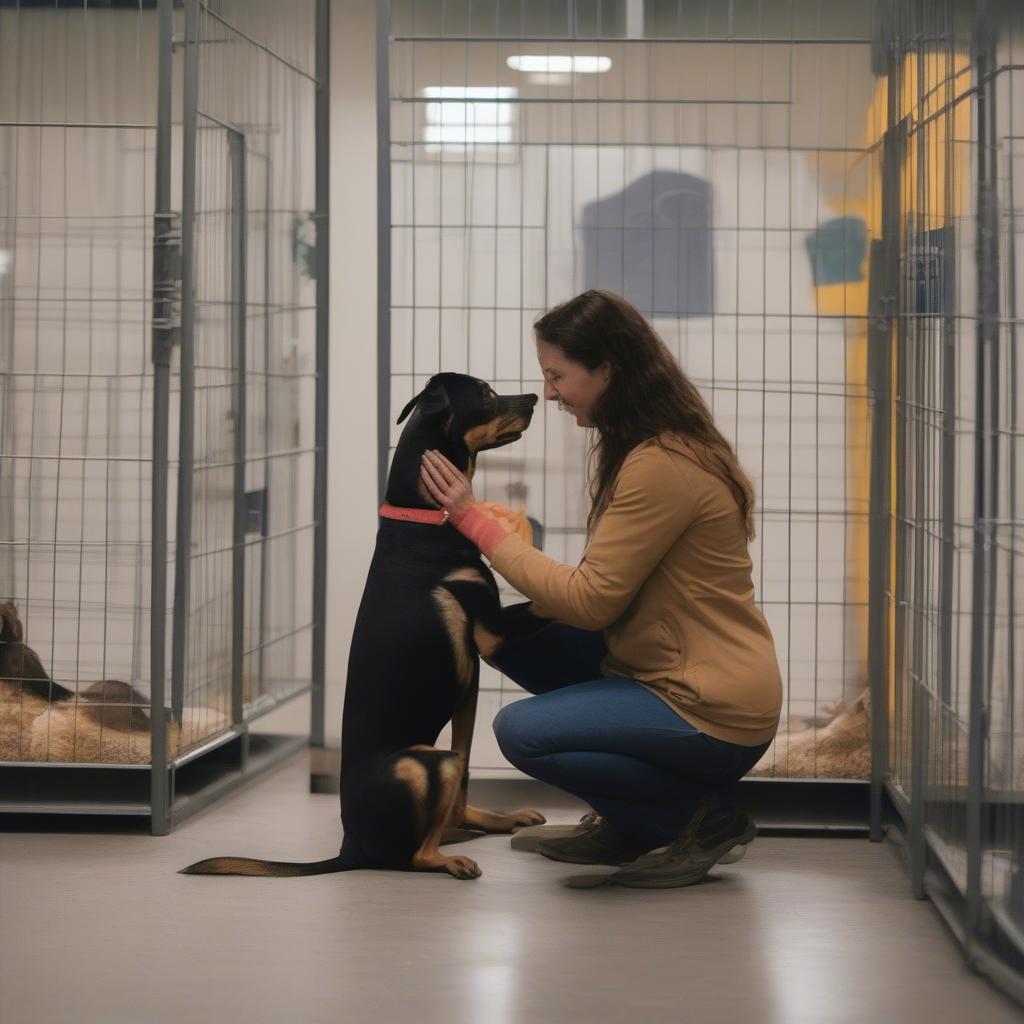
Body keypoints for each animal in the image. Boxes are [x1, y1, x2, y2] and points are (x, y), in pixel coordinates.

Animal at [184, 374, 552, 880]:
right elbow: (548, 604)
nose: (534, 398)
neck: (424, 518)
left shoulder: (470, 686)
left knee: (454, 804)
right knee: (415, 854)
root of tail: (351, 849)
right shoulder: (492, 631)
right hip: (425, 764)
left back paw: (497, 821)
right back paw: (452, 859)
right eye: (484, 393)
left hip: (445, 757)